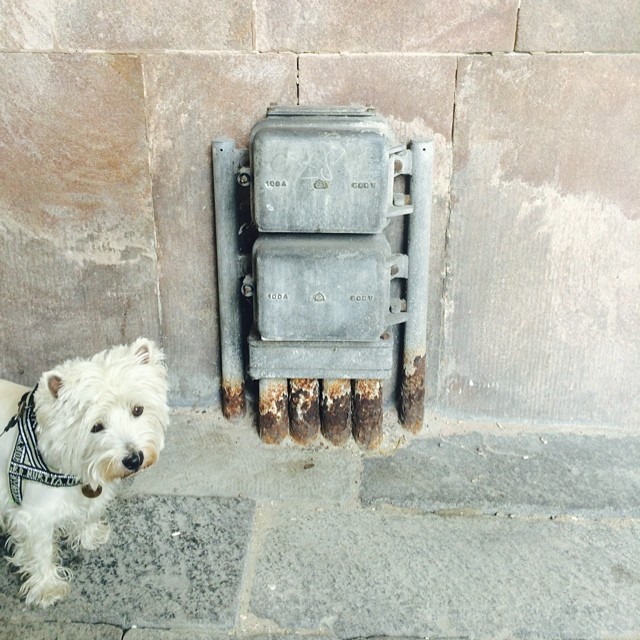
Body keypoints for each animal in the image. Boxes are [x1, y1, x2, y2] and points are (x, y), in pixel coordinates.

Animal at [0, 338, 169, 608]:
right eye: (96, 426)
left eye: (138, 410)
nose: (134, 459)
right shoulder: (34, 514)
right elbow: (40, 550)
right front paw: (47, 589)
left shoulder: (88, 490)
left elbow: (88, 512)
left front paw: (90, 536)